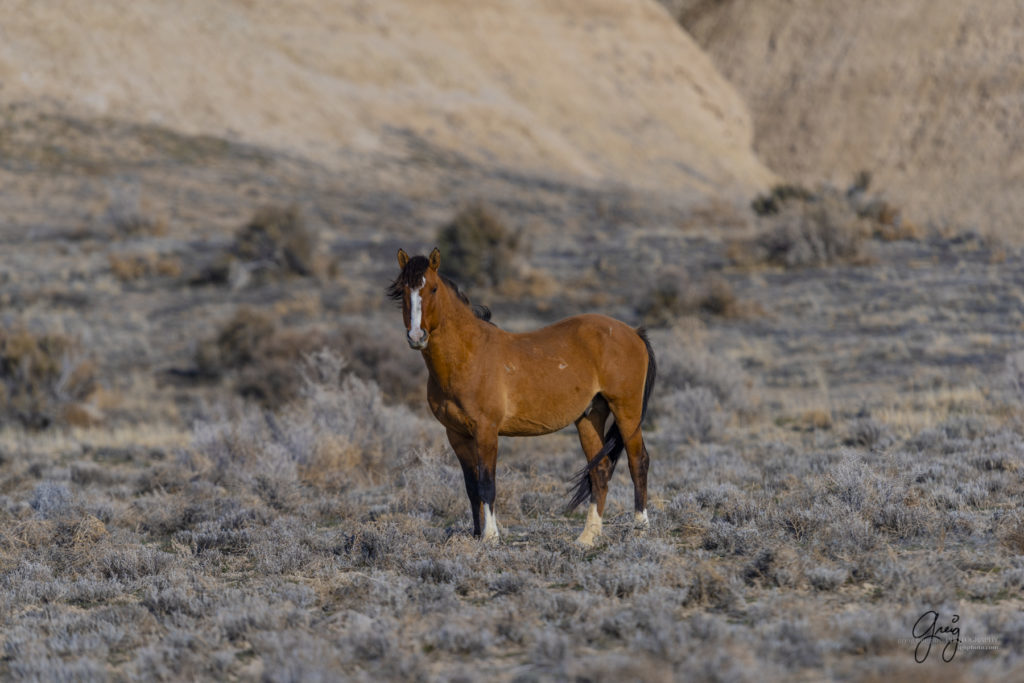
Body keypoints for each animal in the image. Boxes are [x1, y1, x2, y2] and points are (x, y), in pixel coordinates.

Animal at [385, 245, 655, 544]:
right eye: (403, 289)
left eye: (432, 288)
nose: (416, 336)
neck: (469, 354)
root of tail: (633, 332)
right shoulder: (456, 434)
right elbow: (471, 486)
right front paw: (476, 535)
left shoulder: (486, 431)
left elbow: (487, 484)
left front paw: (491, 537)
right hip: (590, 417)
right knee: (600, 469)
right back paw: (587, 538)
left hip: (626, 412)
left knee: (638, 461)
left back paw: (641, 529)